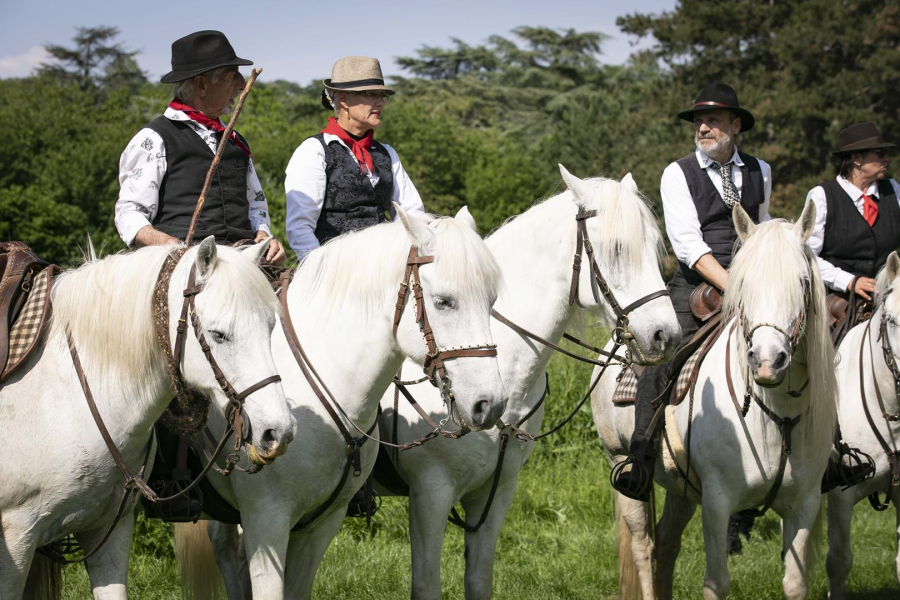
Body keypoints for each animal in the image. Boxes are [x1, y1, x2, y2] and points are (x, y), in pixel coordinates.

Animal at [0, 239, 296, 600]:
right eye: (218, 334)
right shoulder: (17, 539)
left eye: (270, 326)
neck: (66, 390)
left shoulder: (109, 530)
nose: (278, 432)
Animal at [376, 166, 680, 600]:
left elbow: (479, 582)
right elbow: (427, 585)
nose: (665, 336)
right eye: (617, 249)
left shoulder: (497, 492)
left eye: (656, 247)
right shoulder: (429, 494)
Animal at [596, 203, 836, 600]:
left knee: (667, 544)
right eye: (744, 284)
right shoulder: (717, 502)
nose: (767, 361)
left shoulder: (805, 504)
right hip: (621, 463)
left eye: (802, 282)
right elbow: (717, 583)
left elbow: (795, 582)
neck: (776, 418)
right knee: (644, 548)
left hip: (681, 489)